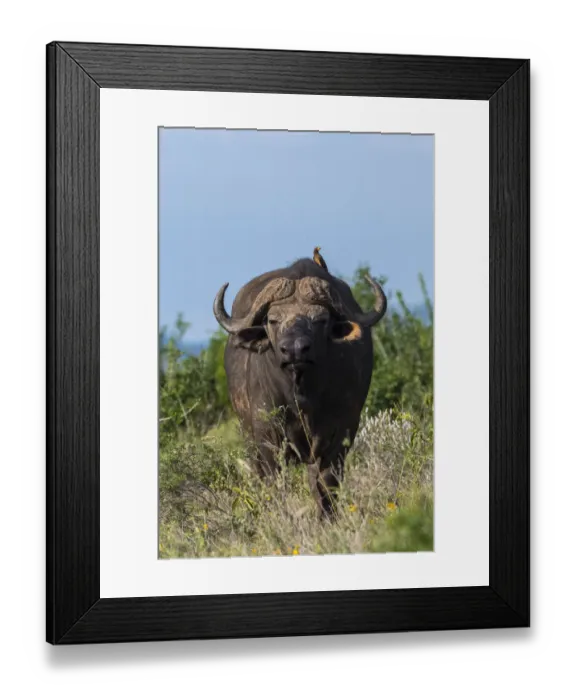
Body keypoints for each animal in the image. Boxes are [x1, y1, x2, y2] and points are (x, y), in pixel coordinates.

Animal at [213, 249, 387, 516]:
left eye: (320, 320)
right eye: (272, 320)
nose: (295, 350)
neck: (301, 395)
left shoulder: (341, 430)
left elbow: (326, 482)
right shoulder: (267, 434)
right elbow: (274, 481)